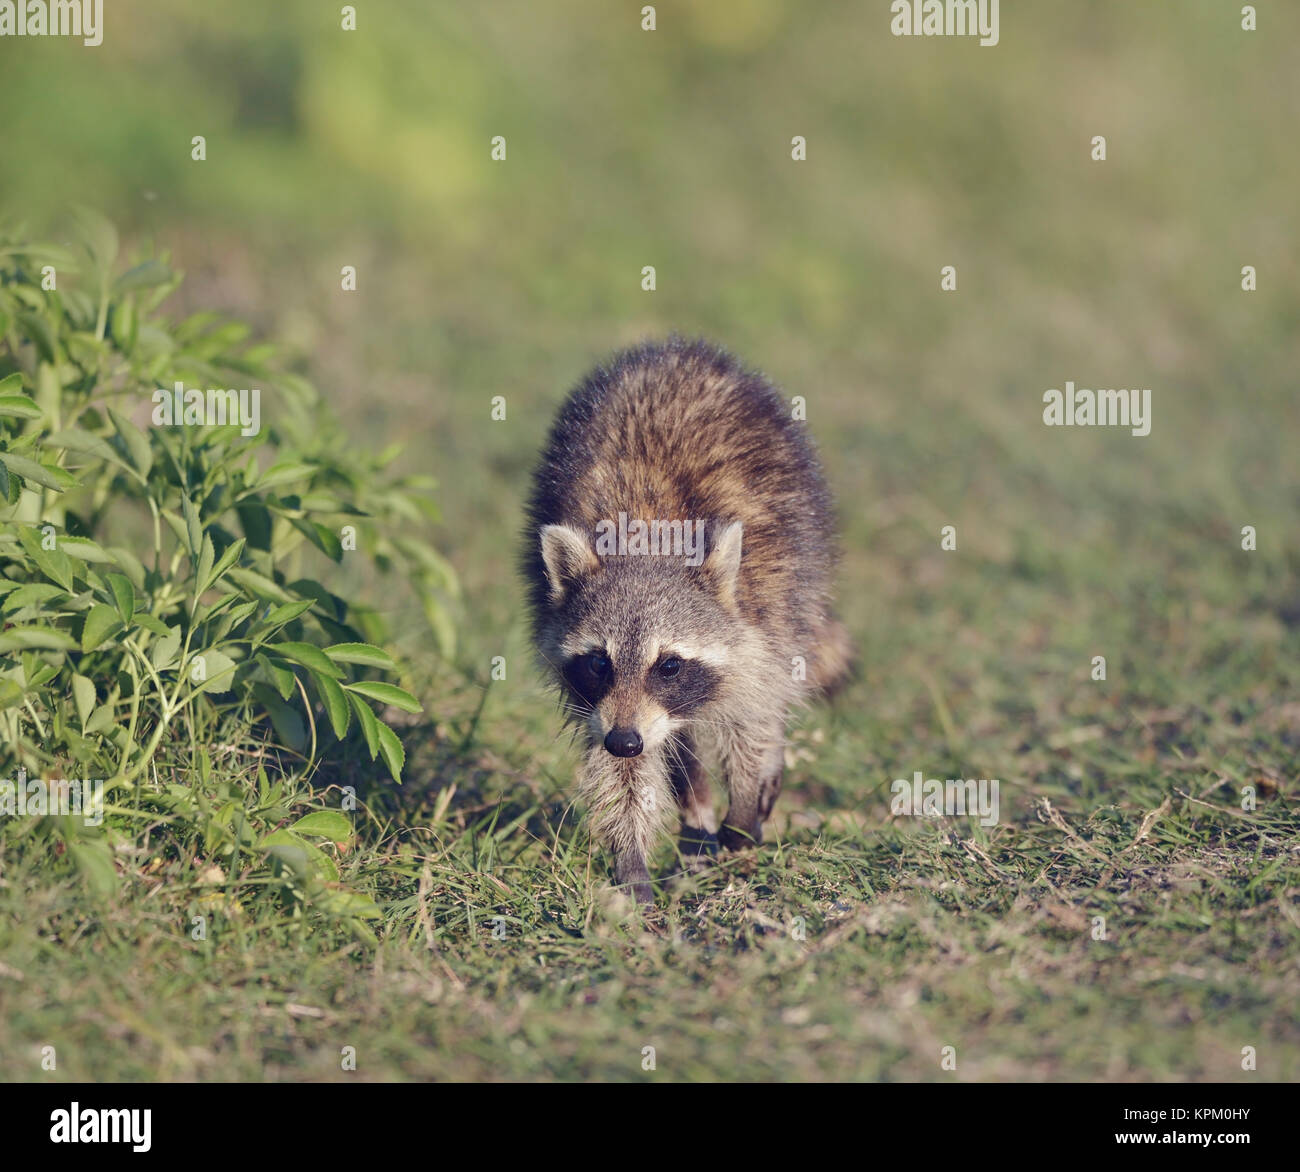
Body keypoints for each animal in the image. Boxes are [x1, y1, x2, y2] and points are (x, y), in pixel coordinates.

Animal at [523, 338, 850, 905]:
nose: (624, 739)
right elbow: (624, 773)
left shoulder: (763, 608)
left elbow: (753, 713)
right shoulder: (602, 701)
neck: (644, 544)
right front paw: (631, 860)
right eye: (598, 663)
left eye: (669, 665)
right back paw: (694, 805)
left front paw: (745, 803)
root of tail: (677, 348)